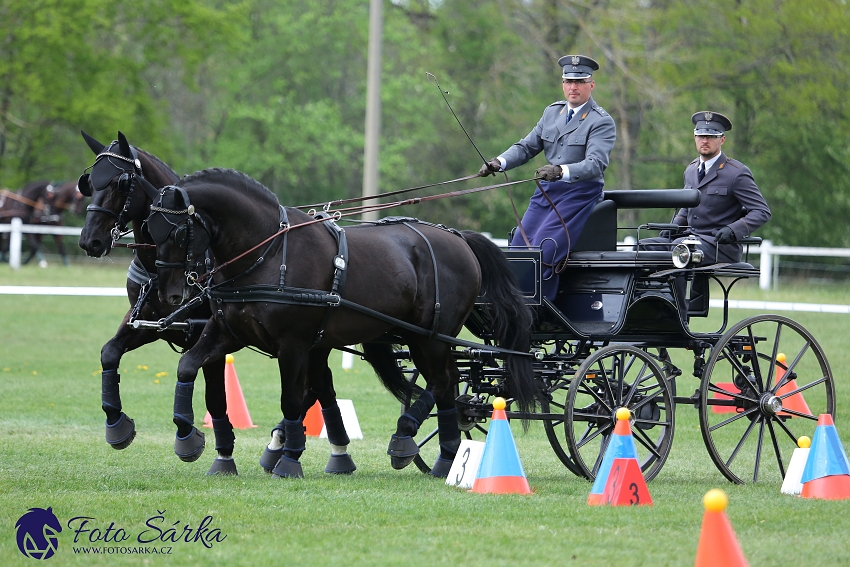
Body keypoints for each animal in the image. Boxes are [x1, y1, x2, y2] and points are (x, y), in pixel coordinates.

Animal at [142, 168, 532, 480]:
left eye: (178, 234)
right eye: (149, 229)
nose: (168, 294)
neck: (268, 254)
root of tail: (458, 237)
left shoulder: (294, 345)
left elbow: (290, 399)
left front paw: (290, 459)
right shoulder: (228, 332)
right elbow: (187, 365)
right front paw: (187, 437)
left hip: (431, 337)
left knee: (442, 380)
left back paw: (408, 439)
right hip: (419, 337)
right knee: (447, 383)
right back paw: (446, 456)